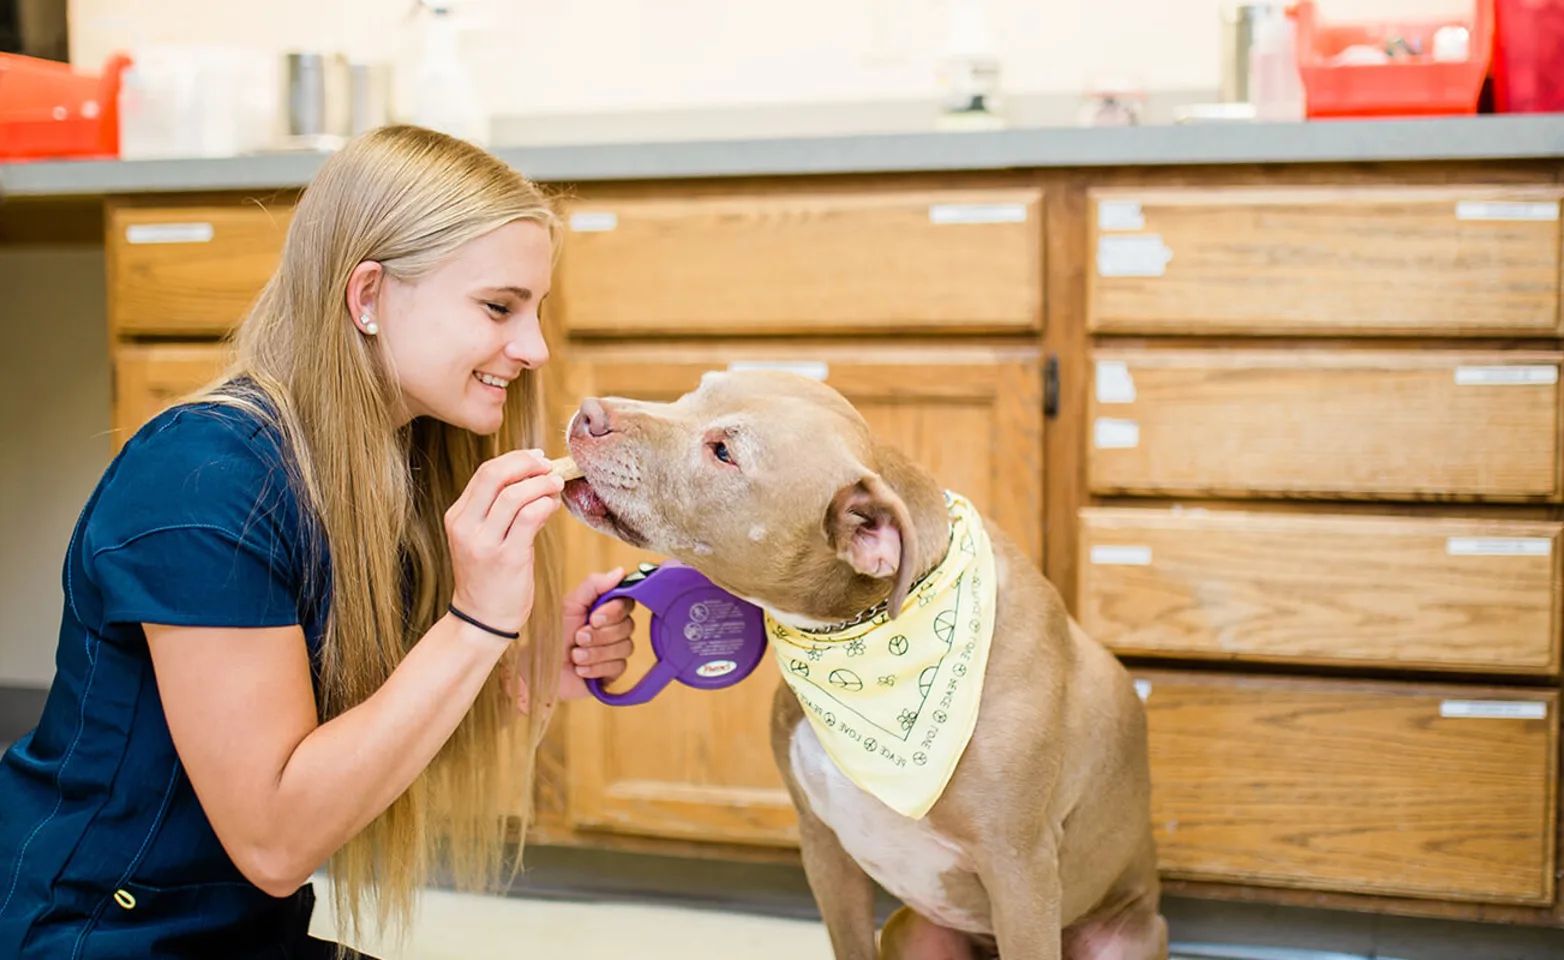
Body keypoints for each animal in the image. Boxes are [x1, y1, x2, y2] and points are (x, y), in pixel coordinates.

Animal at [559, 370, 1163, 960]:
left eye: (724, 452)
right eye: (692, 393)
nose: (588, 413)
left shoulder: (1022, 875)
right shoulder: (823, 847)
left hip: (1122, 934)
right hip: (911, 931)